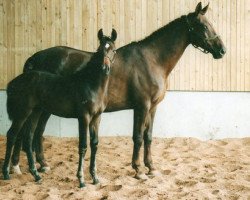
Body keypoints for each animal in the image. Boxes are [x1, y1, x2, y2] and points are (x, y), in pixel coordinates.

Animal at [2, 28, 117, 188]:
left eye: (113, 50)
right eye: (99, 49)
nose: (105, 68)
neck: (90, 84)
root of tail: (14, 82)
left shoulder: (96, 117)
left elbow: (94, 144)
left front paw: (95, 178)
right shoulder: (84, 117)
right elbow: (83, 146)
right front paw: (81, 180)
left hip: (35, 112)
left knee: (28, 137)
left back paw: (36, 174)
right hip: (23, 112)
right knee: (12, 135)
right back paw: (7, 172)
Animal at [11, 1, 225, 180]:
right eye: (204, 26)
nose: (222, 50)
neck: (152, 59)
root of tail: (35, 58)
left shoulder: (152, 107)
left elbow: (148, 137)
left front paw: (151, 167)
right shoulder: (142, 106)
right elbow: (137, 137)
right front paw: (138, 170)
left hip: (43, 108)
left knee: (36, 133)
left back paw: (39, 165)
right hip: (40, 108)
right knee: (28, 132)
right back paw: (19, 167)